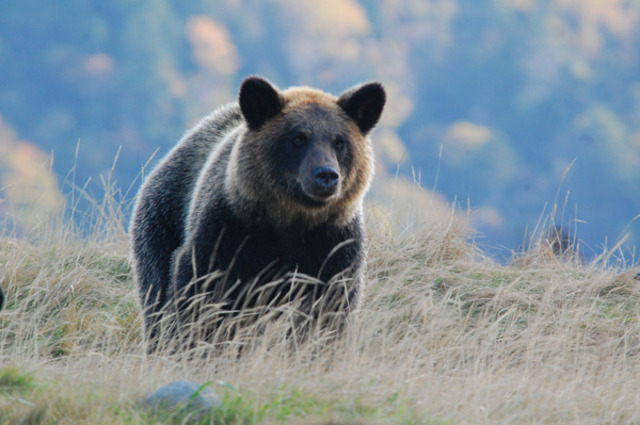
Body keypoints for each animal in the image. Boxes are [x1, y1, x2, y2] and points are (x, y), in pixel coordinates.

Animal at [127, 76, 382, 352]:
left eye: (339, 141)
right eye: (298, 138)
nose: (326, 175)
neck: (290, 220)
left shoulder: (333, 244)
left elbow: (329, 309)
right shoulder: (228, 230)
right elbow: (198, 292)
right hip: (162, 218)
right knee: (156, 292)